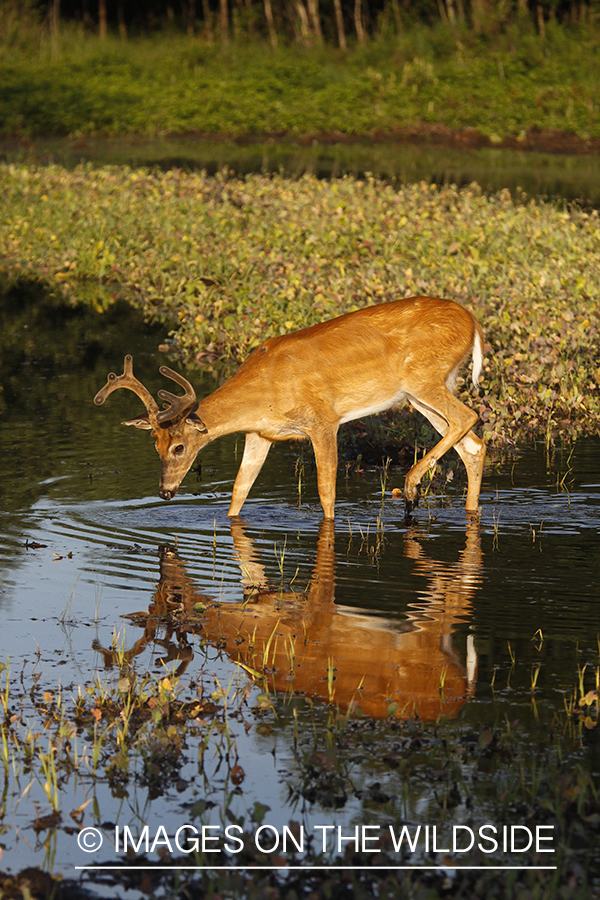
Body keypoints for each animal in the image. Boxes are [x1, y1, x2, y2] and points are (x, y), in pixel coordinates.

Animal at [95, 298, 488, 512]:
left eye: (178, 446)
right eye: (155, 445)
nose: (165, 491)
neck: (265, 389)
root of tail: (474, 322)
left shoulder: (323, 420)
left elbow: (326, 493)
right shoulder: (260, 434)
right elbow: (239, 491)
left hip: (424, 378)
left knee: (468, 416)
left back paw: (409, 486)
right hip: (419, 393)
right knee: (472, 444)